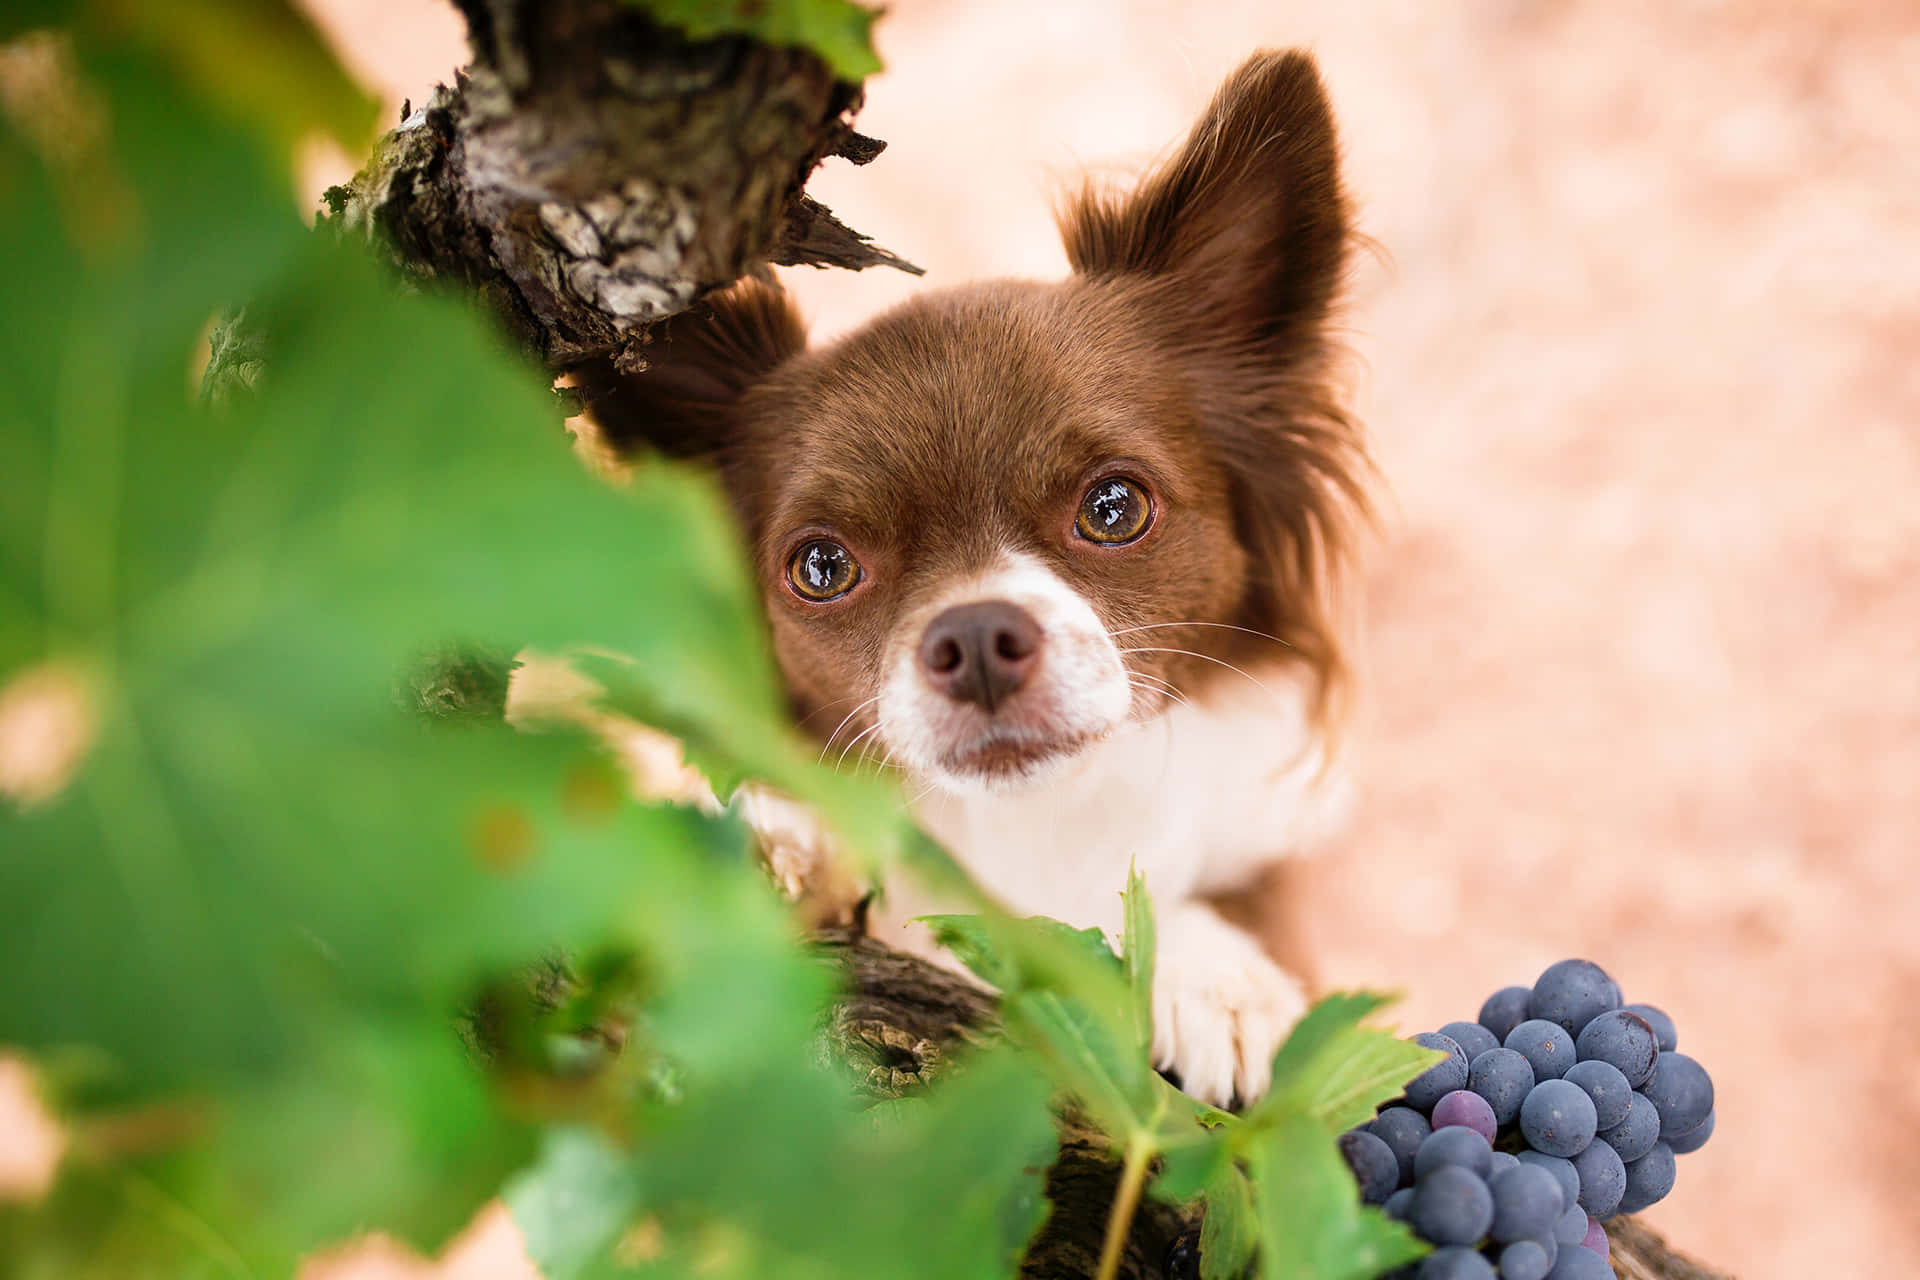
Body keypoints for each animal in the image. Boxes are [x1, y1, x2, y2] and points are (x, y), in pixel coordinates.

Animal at [576, 52, 1374, 1105]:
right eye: (822, 567)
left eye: (1113, 508)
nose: (975, 637)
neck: (1036, 823)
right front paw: (786, 837)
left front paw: (1216, 980)